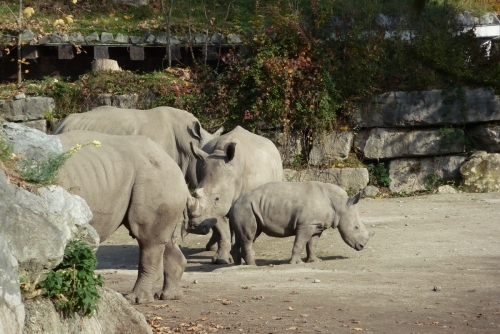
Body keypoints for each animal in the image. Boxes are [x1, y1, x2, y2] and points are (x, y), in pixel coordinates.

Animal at [57, 130, 191, 302]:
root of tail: (171, 161)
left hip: (155, 175)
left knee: (147, 238)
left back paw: (137, 299)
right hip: (159, 177)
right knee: (163, 238)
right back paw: (168, 296)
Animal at [187, 125, 284, 264]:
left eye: (217, 197)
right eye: (194, 194)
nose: (195, 227)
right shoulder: (216, 208)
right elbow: (220, 228)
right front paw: (221, 260)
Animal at [229, 181, 374, 264]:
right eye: (356, 227)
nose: (362, 246)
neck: (340, 205)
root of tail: (232, 205)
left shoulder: (316, 225)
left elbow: (312, 244)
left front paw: (315, 261)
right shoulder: (306, 224)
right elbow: (299, 243)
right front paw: (297, 263)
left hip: (246, 208)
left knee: (247, 235)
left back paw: (237, 264)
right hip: (245, 208)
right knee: (249, 237)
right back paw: (253, 265)